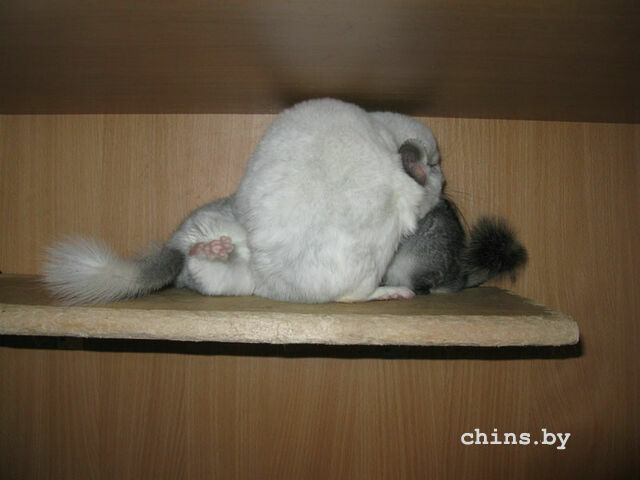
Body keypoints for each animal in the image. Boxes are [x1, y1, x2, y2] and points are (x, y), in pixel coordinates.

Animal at [43, 98, 444, 304]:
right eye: (436, 164)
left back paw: (211, 253)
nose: (443, 184)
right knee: (353, 296)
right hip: (370, 264)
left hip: (233, 271)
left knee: (211, 275)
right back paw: (394, 292)